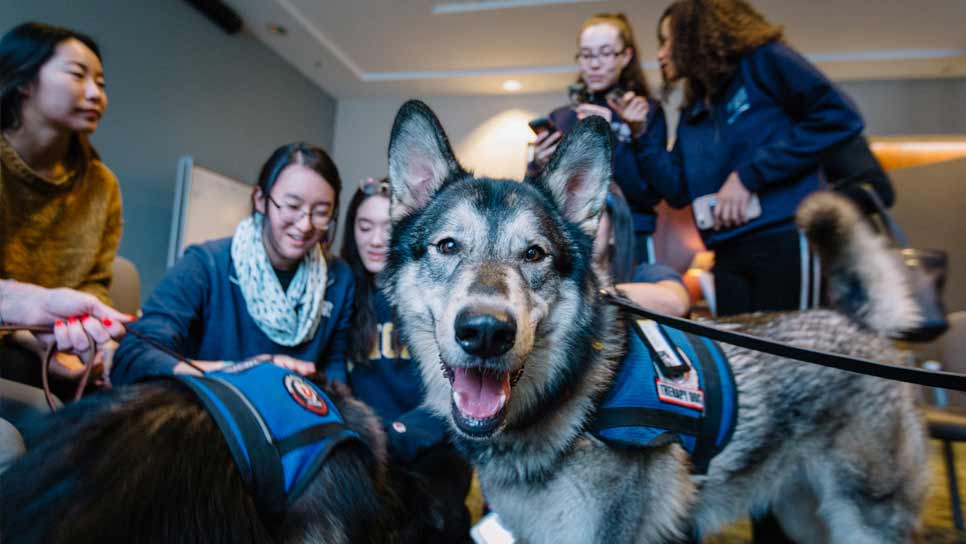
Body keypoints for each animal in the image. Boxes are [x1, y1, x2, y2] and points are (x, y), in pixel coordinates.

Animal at [384, 100, 932, 540]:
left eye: (535, 254)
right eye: (448, 246)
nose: (486, 331)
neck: (578, 394)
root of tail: (860, 324)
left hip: (863, 520)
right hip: (805, 517)